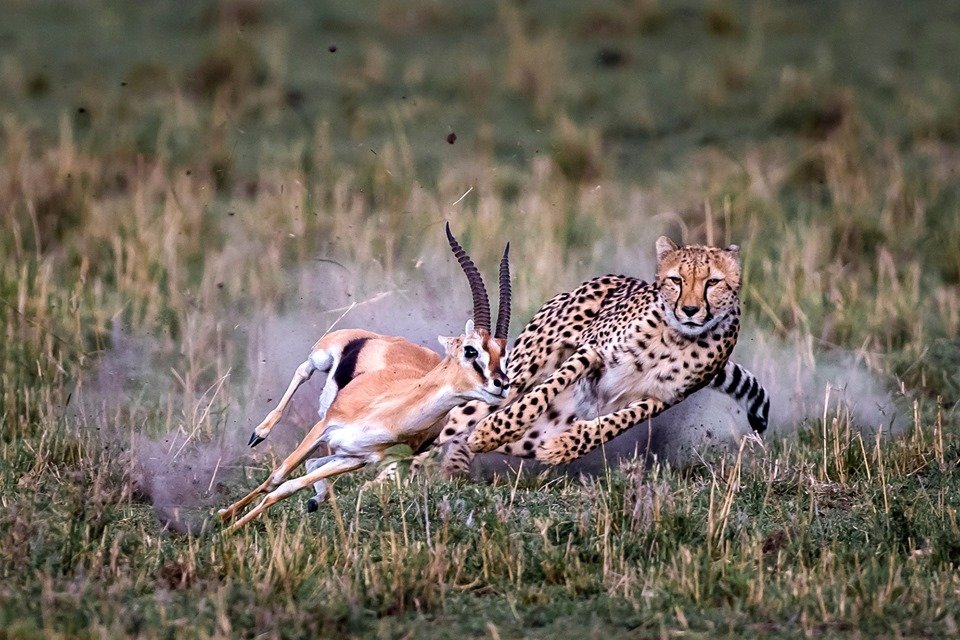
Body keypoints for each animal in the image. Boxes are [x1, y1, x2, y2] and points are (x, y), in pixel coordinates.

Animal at [218, 223, 512, 532]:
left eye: (505, 357)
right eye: (471, 350)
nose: (502, 385)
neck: (387, 413)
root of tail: (390, 339)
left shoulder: (356, 459)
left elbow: (288, 486)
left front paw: (230, 524)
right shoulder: (323, 428)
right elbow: (276, 478)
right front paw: (225, 520)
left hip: (337, 449)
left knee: (312, 467)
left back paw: (315, 499)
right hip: (322, 357)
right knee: (303, 369)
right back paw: (259, 434)